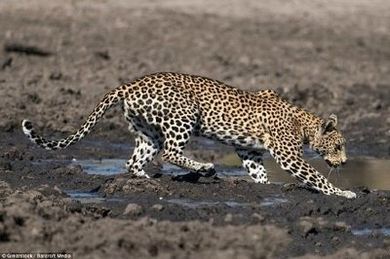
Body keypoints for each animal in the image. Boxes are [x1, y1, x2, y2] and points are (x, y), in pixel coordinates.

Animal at [21, 72, 356, 199]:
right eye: (338, 145)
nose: (345, 162)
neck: (304, 124)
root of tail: (131, 83)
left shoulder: (249, 151)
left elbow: (257, 171)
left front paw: (264, 187)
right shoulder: (288, 155)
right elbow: (315, 175)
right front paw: (342, 193)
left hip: (148, 132)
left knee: (135, 160)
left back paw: (147, 179)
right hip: (185, 115)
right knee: (170, 152)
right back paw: (204, 168)